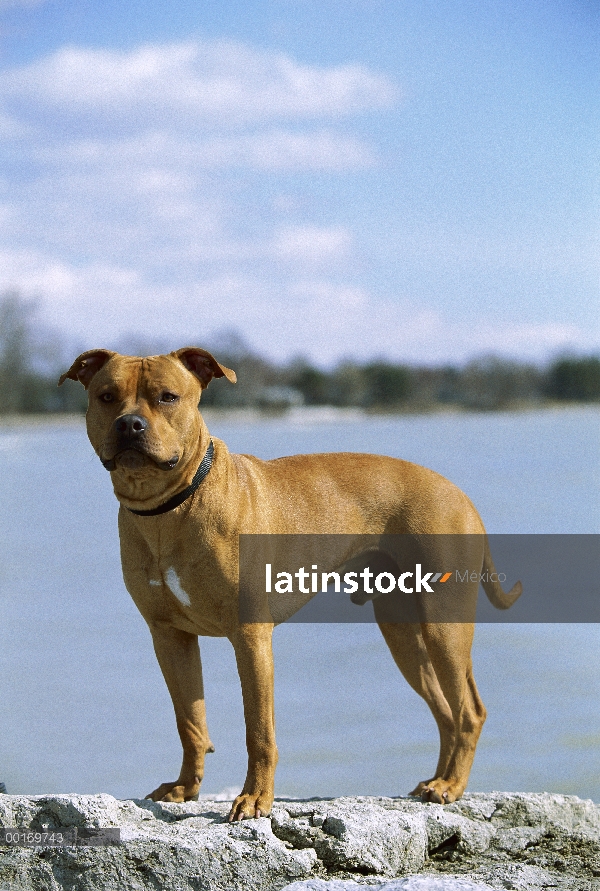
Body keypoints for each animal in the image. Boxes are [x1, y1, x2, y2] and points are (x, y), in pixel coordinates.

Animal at [58, 346, 524, 824]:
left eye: (167, 397)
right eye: (106, 396)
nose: (130, 424)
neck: (170, 507)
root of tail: (459, 493)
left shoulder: (250, 637)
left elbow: (259, 730)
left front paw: (254, 799)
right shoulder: (169, 637)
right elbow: (190, 722)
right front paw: (186, 789)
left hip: (443, 626)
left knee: (469, 711)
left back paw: (451, 785)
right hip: (403, 633)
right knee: (446, 712)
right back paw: (437, 780)